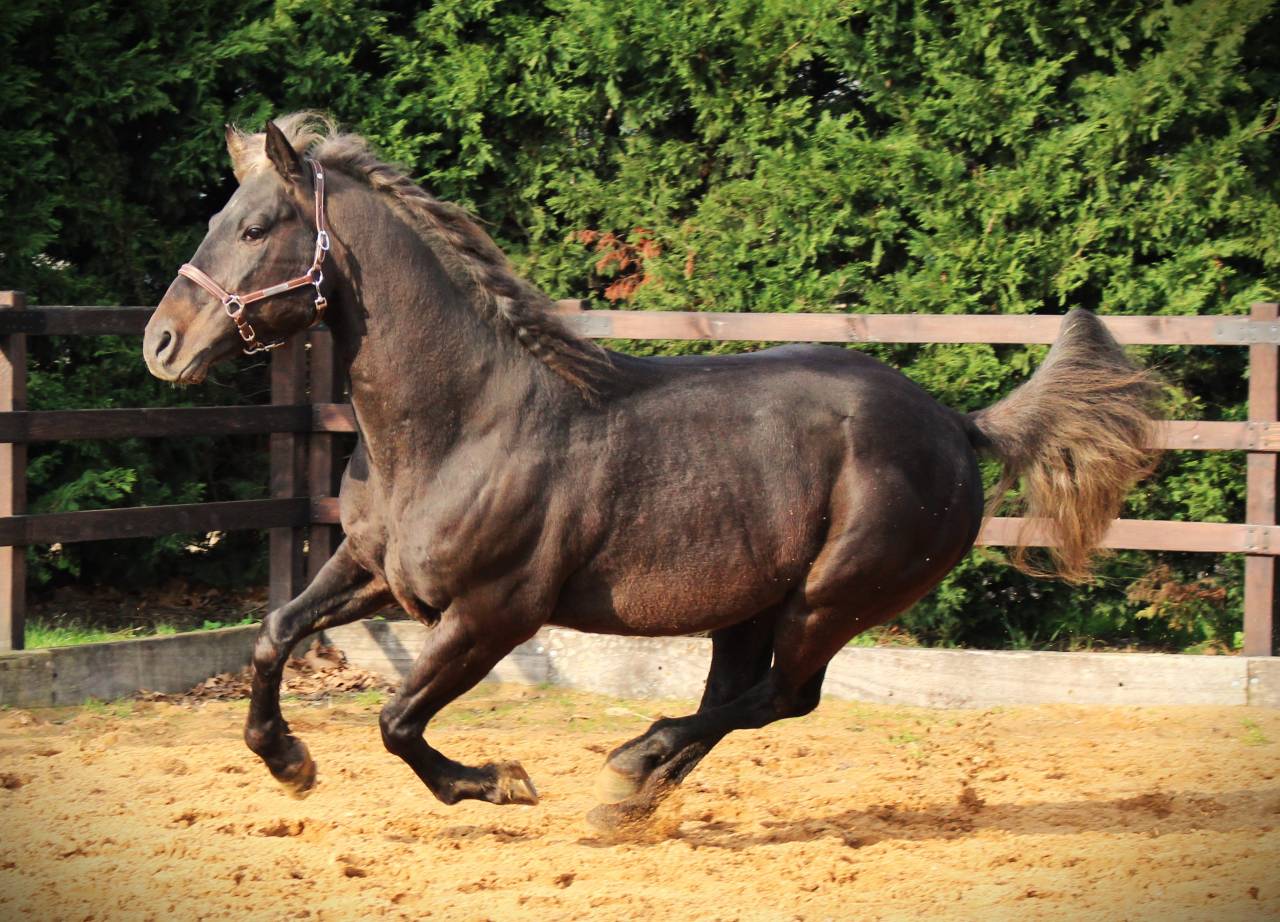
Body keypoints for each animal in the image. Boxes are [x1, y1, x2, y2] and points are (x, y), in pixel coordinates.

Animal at [143, 114, 1159, 830]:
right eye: (217, 219)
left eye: (259, 228)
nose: (161, 344)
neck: (462, 424)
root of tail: (956, 422)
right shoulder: (378, 570)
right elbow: (274, 632)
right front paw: (289, 763)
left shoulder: (495, 613)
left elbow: (396, 720)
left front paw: (500, 783)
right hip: (751, 604)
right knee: (742, 697)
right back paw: (635, 797)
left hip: (833, 598)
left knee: (782, 697)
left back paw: (633, 764)